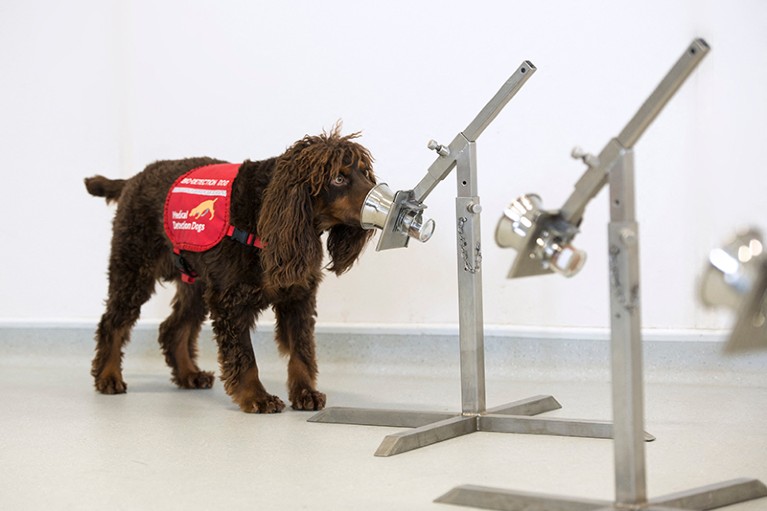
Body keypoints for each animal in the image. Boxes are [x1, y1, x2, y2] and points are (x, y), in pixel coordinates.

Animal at [85, 127, 378, 412]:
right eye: (338, 179)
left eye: (364, 172)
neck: (267, 210)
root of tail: (132, 180)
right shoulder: (230, 299)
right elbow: (244, 356)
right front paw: (257, 397)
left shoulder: (298, 294)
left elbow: (301, 351)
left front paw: (305, 392)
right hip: (133, 268)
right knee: (113, 323)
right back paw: (108, 377)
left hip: (195, 283)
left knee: (173, 328)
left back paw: (189, 374)